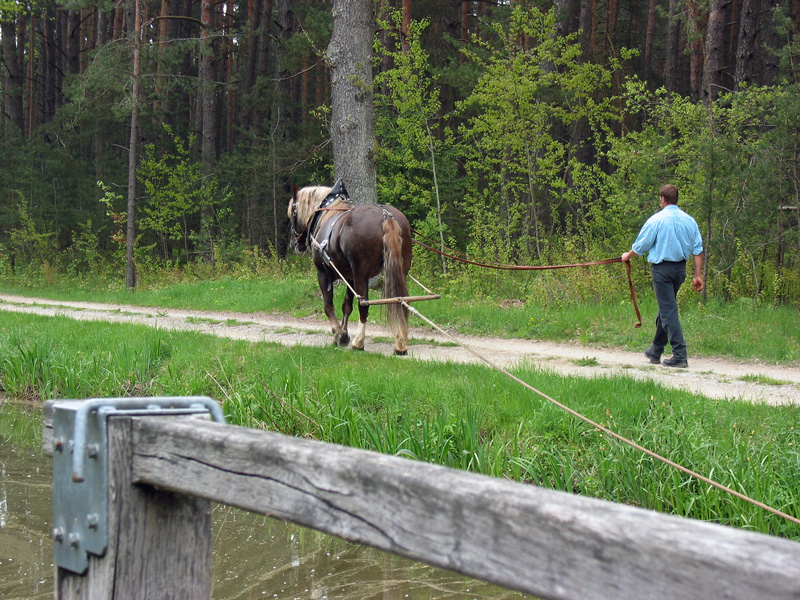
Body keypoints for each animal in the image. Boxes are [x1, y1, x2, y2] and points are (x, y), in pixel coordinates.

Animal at [288, 180, 412, 354]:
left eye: (293, 212)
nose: (294, 244)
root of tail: (386, 216)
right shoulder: (349, 277)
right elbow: (346, 306)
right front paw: (343, 333)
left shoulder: (323, 273)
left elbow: (328, 305)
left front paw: (339, 334)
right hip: (400, 271)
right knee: (402, 302)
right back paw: (400, 343)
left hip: (361, 274)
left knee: (364, 304)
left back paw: (359, 342)